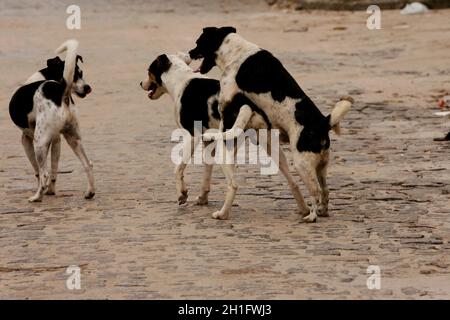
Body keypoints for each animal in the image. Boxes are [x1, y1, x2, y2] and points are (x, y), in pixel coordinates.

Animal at [8, 38, 95, 202]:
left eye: (81, 73)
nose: (88, 88)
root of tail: (61, 90)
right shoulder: (56, 139)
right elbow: (54, 169)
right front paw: (51, 191)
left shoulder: (26, 139)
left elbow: (38, 171)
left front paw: (44, 190)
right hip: (73, 138)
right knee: (88, 164)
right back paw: (90, 192)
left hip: (39, 142)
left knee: (44, 173)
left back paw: (36, 197)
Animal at [139, 52, 308, 218]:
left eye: (149, 71)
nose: (140, 83)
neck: (180, 79)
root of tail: (246, 104)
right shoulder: (208, 144)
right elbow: (206, 176)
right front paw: (202, 199)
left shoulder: (191, 137)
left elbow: (178, 169)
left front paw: (182, 194)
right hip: (269, 148)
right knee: (293, 182)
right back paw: (304, 211)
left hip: (225, 149)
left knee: (233, 184)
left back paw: (222, 214)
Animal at [188, 26, 354, 222]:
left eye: (198, 42)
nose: (190, 53)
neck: (234, 51)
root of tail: (323, 123)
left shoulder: (227, 99)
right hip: (320, 166)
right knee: (326, 190)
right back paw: (322, 211)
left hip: (302, 165)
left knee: (316, 192)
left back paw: (311, 216)